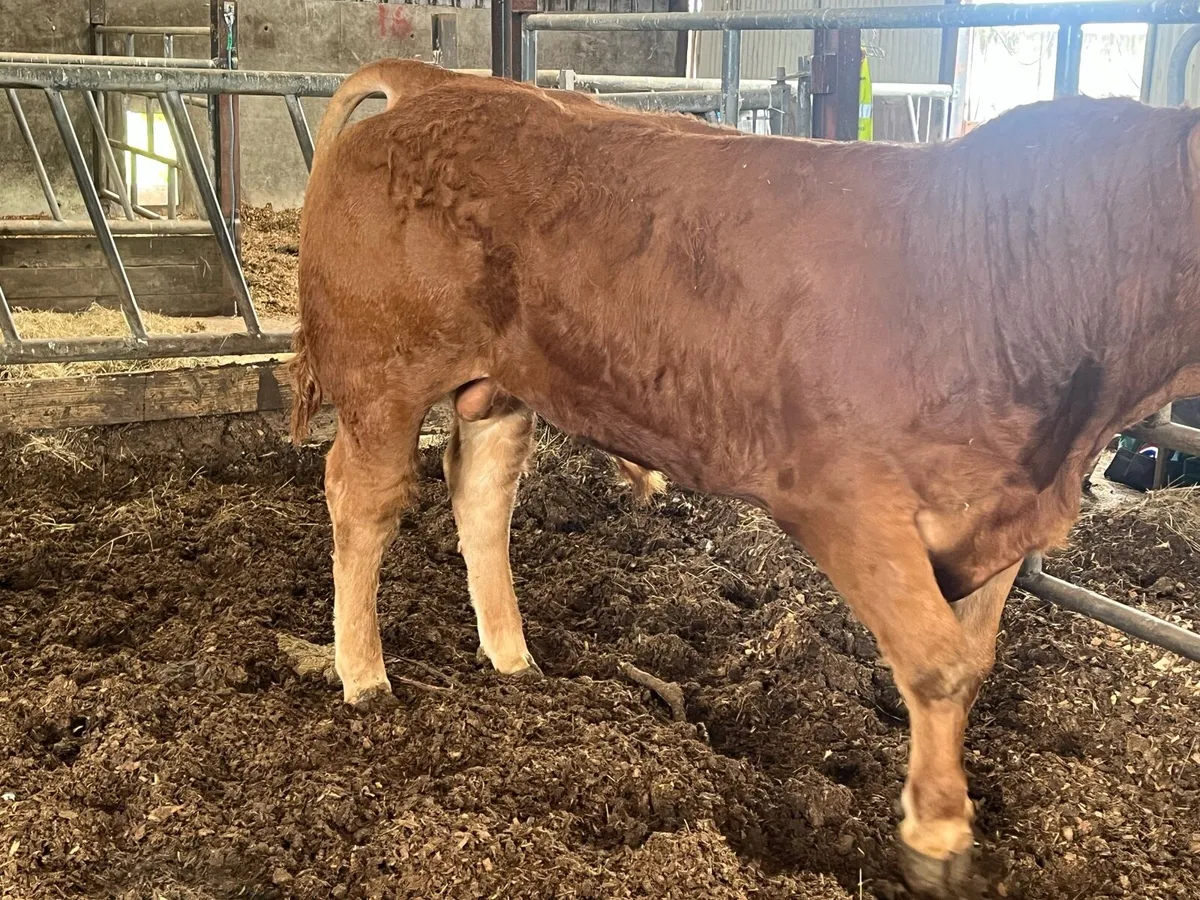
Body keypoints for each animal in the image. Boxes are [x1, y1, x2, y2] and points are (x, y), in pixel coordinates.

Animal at [289, 58, 1200, 896]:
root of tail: (434, 80)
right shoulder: (845, 499)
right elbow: (938, 664)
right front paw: (937, 837)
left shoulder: (1000, 515)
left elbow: (972, 665)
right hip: (383, 375)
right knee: (363, 502)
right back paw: (364, 677)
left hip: (504, 385)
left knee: (480, 496)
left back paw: (512, 661)